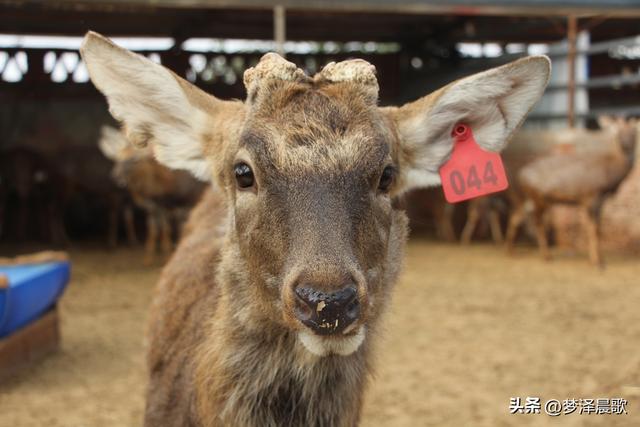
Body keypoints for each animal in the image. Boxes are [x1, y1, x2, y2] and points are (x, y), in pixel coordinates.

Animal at [512, 115, 636, 266]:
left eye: (633, 132)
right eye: (618, 132)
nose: (624, 144)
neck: (611, 178)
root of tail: (520, 175)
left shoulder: (598, 200)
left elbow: (597, 229)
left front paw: (600, 258)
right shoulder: (592, 196)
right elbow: (593, 229)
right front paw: (596, 261)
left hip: (528, 198)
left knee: (516, 217)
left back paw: (510, 251)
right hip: (538, 198)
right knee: (537, 223)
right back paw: (546, 256)